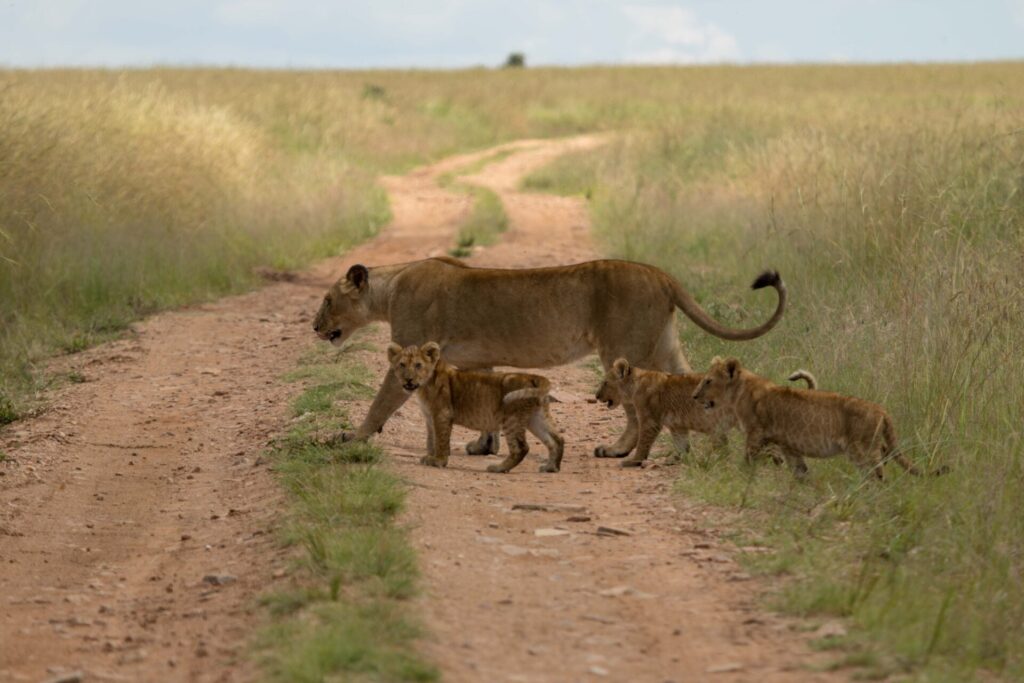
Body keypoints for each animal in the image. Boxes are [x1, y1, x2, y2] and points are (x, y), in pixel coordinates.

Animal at [314, 257, 785, 458]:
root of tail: (662, 274)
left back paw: (618, 451)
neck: (389, 288)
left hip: (623, 351)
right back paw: (700, 450)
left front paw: (349, 438)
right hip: (664, 344)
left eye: (328, 299)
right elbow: (485, 401)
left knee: (637, 407)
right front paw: (483, 446)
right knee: (687, 387)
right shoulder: (478, 359)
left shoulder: (410, 352)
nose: (315, 328)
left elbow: (380, 404)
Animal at [388, 342, 564, 473]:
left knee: (521, 448)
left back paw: (498, 468)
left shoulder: (442, 414)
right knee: (557, 439)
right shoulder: (429, 417)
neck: (424, 386)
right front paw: (429, 457)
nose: (408, 379)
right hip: (536, 417)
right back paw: (551, 467)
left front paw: (439, 461)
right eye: (402, 365)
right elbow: (431, 439)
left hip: (512, 418)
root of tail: (535, 377)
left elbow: (441, 439)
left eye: (418, 365)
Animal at [692, 356, 921, 480]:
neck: (738, 391)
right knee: (884, 455)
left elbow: (748, 459)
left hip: (861, 449)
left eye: (708, 381)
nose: (693, 396)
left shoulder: (756, 434)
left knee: (876, 472)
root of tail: (881, 409)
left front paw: (742, 476)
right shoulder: (787, 444)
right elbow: (799, 469)